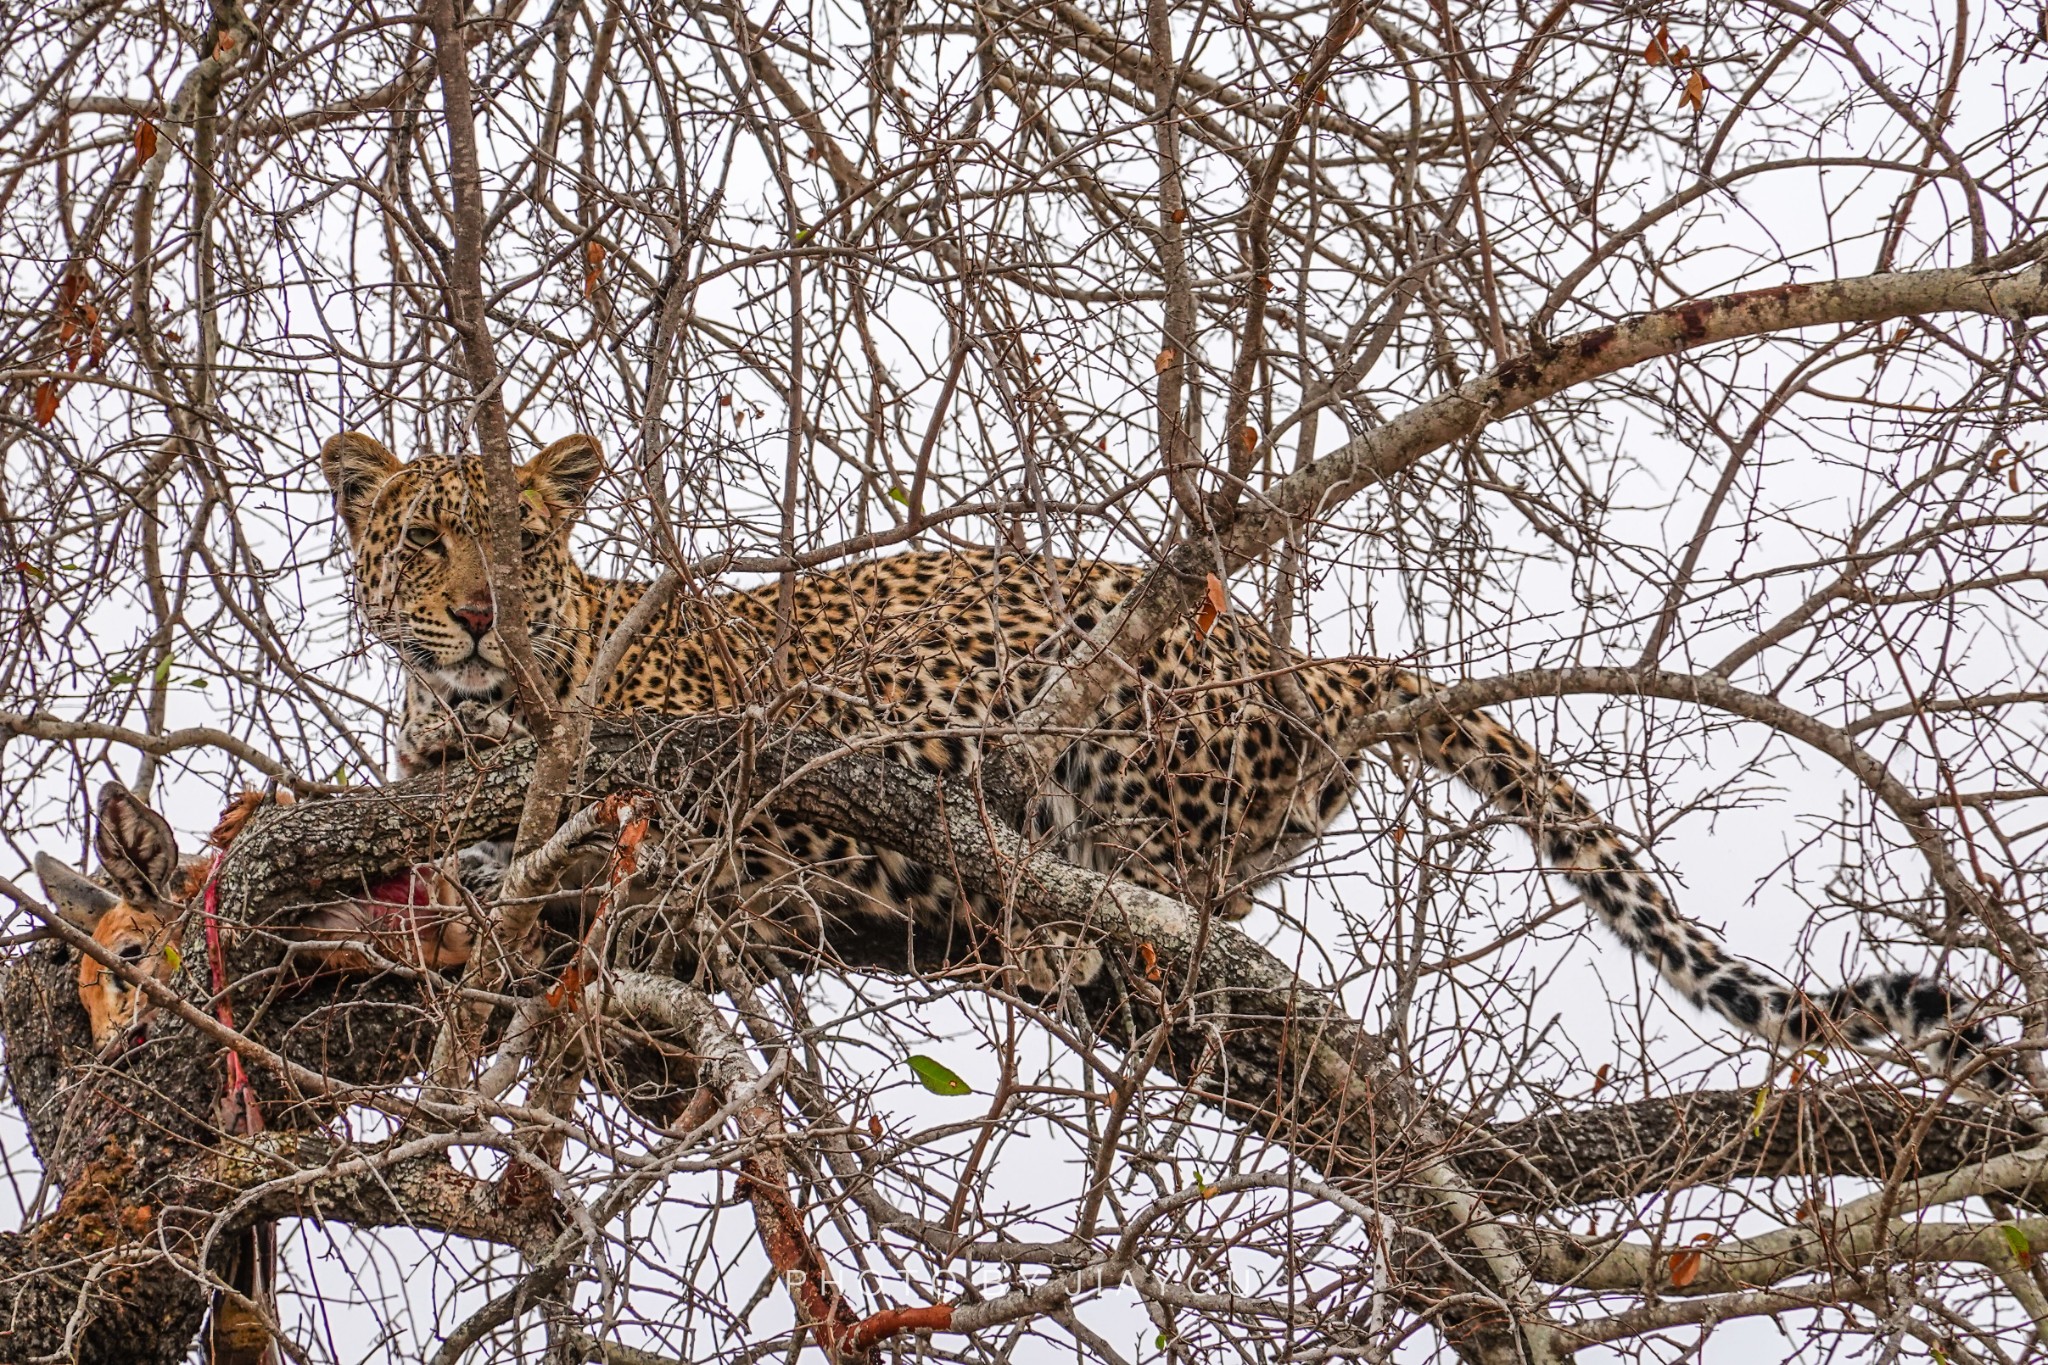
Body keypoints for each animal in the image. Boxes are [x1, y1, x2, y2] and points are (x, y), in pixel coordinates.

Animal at [319, 429, 1998, 1080]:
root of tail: (1300, 658)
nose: (477, 616)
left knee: (1154, 899)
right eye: (426, 537)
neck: (467, 716)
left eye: (525, 547)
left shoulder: (715, 808)